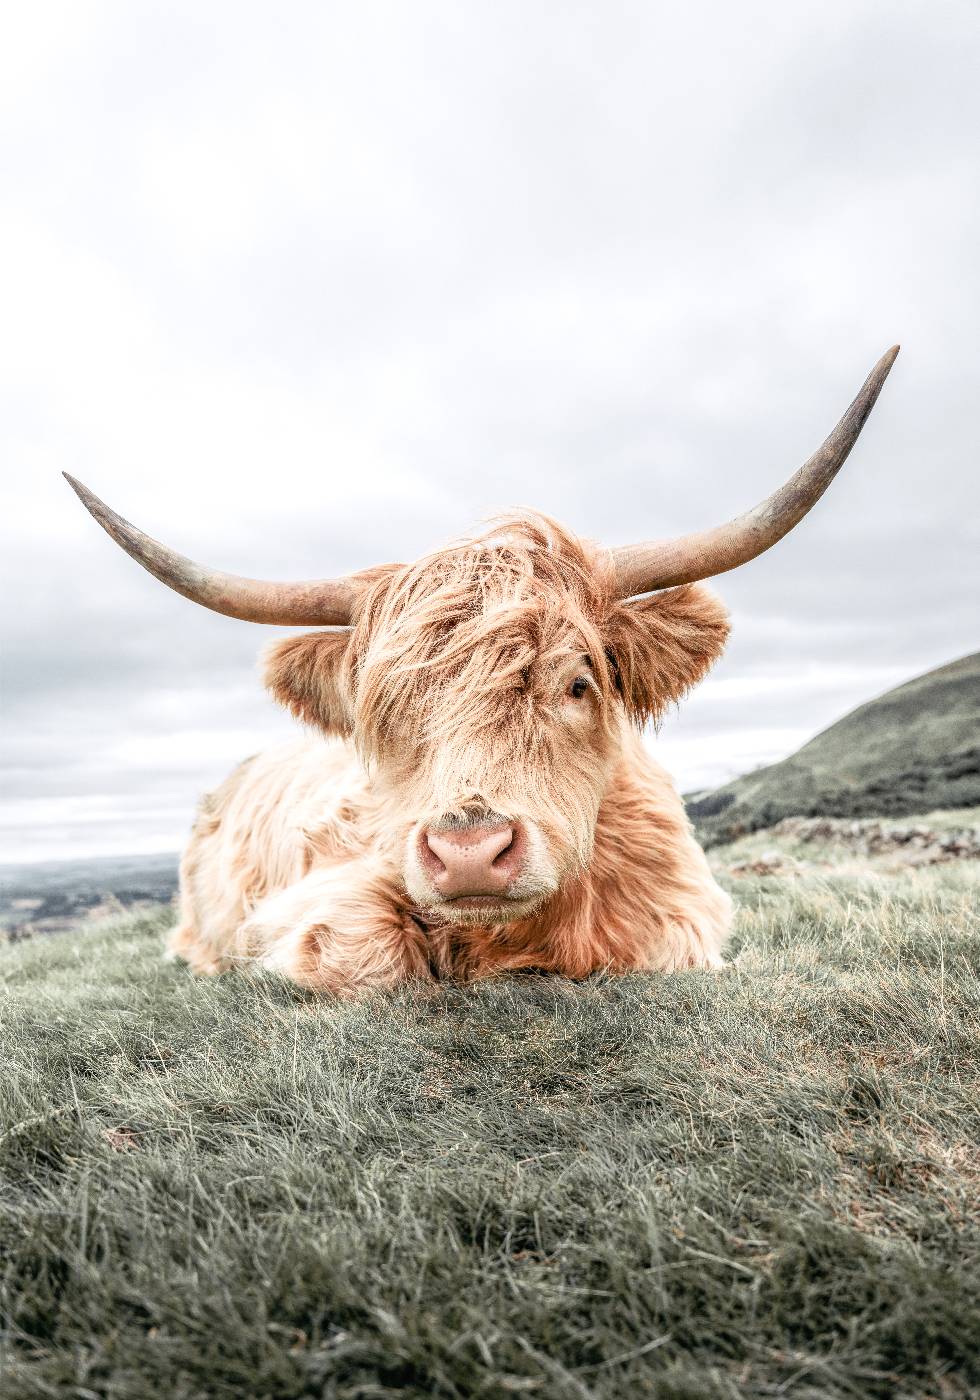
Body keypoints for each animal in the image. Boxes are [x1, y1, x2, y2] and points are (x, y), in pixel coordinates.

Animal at [66, 346, 898, 992]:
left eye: (577, 684)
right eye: (386, 709)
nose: (471, 853)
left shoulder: (677, 913)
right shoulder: (317, 899)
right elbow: (367, 955)